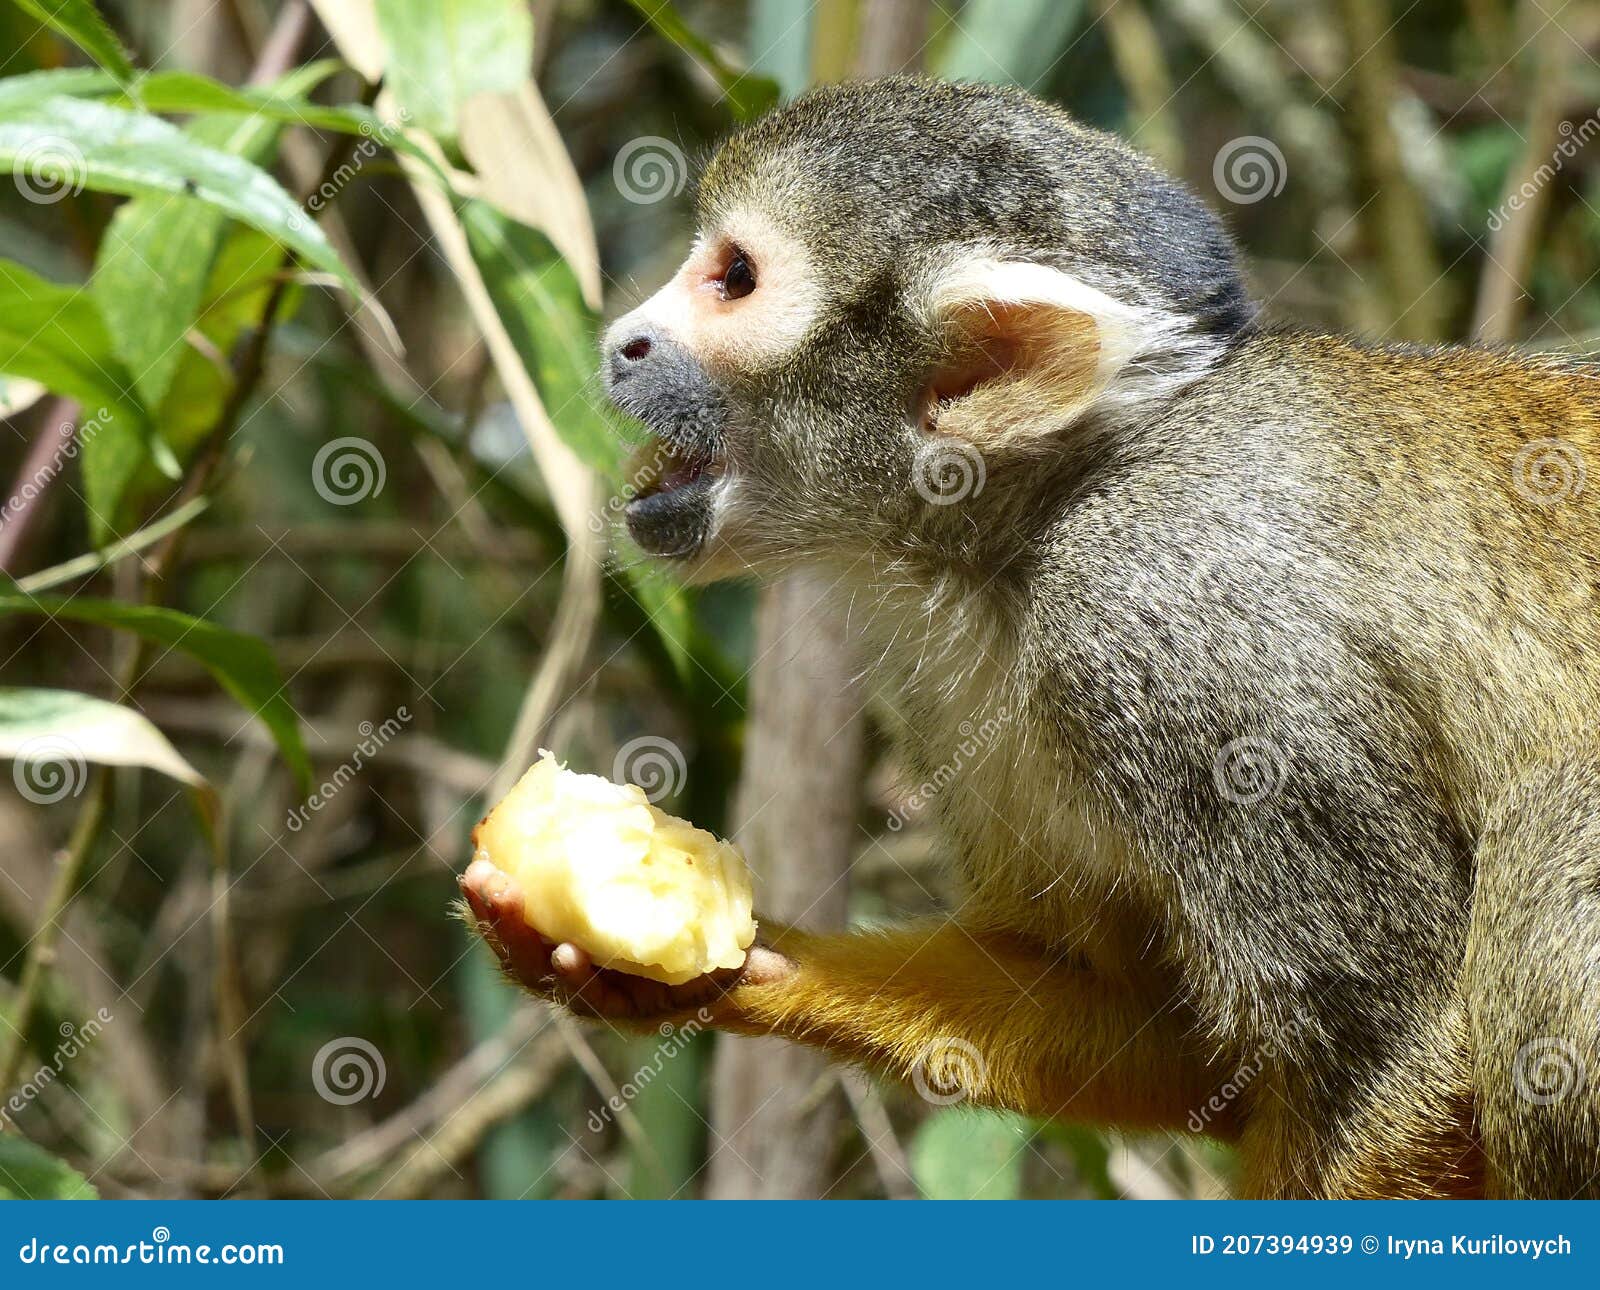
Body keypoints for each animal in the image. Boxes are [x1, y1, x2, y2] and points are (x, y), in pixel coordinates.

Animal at [464, 75, 1600, 1197]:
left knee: (1548, 854)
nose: (623, 341)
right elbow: (1176, 1047)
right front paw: (725, 971)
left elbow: (1389, 1043)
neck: (1046, 517)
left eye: (734, 279)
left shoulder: (1174, 637)